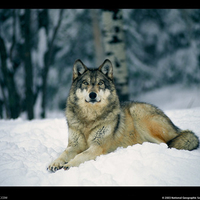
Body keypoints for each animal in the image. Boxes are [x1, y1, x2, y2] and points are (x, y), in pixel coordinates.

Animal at [47, 58, 199, 172]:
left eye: (100, 83)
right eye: (85, 83)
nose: (92, 94)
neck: (89, 118)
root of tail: (177, 128)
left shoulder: (98, 146)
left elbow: (80, 156)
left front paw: (69, 165)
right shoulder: (74, 145)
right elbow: (64, 153)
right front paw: (55, 163)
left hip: (139, 113)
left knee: (165, 144)